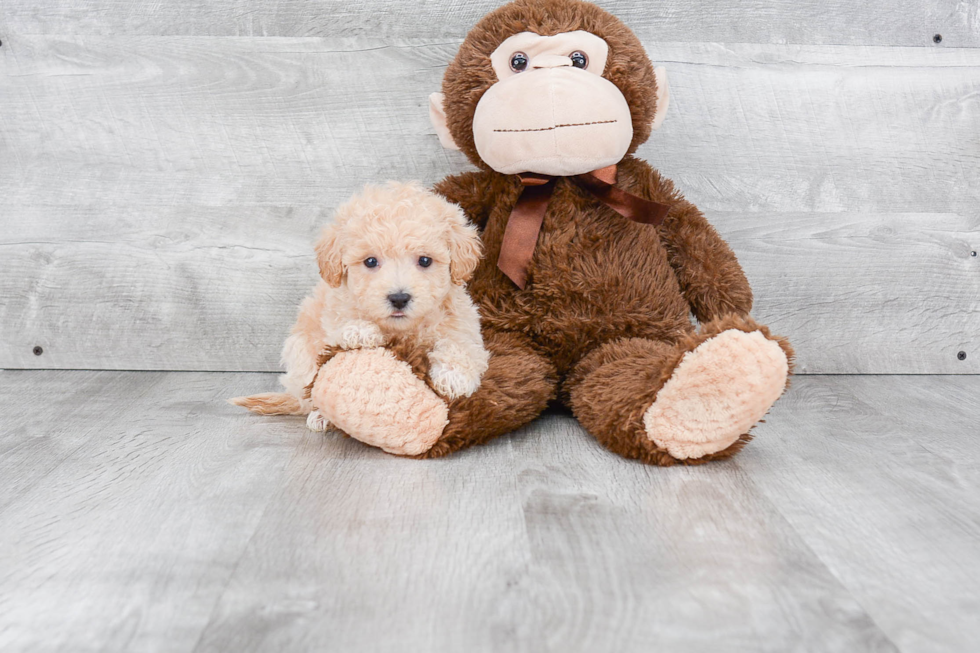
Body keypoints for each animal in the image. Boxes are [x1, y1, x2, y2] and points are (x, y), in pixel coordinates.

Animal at [231, 181, 490, 430]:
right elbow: (342, 321)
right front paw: (360, 331)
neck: (401, 329)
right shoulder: (333, 309)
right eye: (371, 261)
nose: (399, 298)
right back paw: (320, 415)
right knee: (309, 391)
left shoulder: (463, 324)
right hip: (300, 352)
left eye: (425, 260)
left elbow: (461, 346)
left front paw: (453, 376)